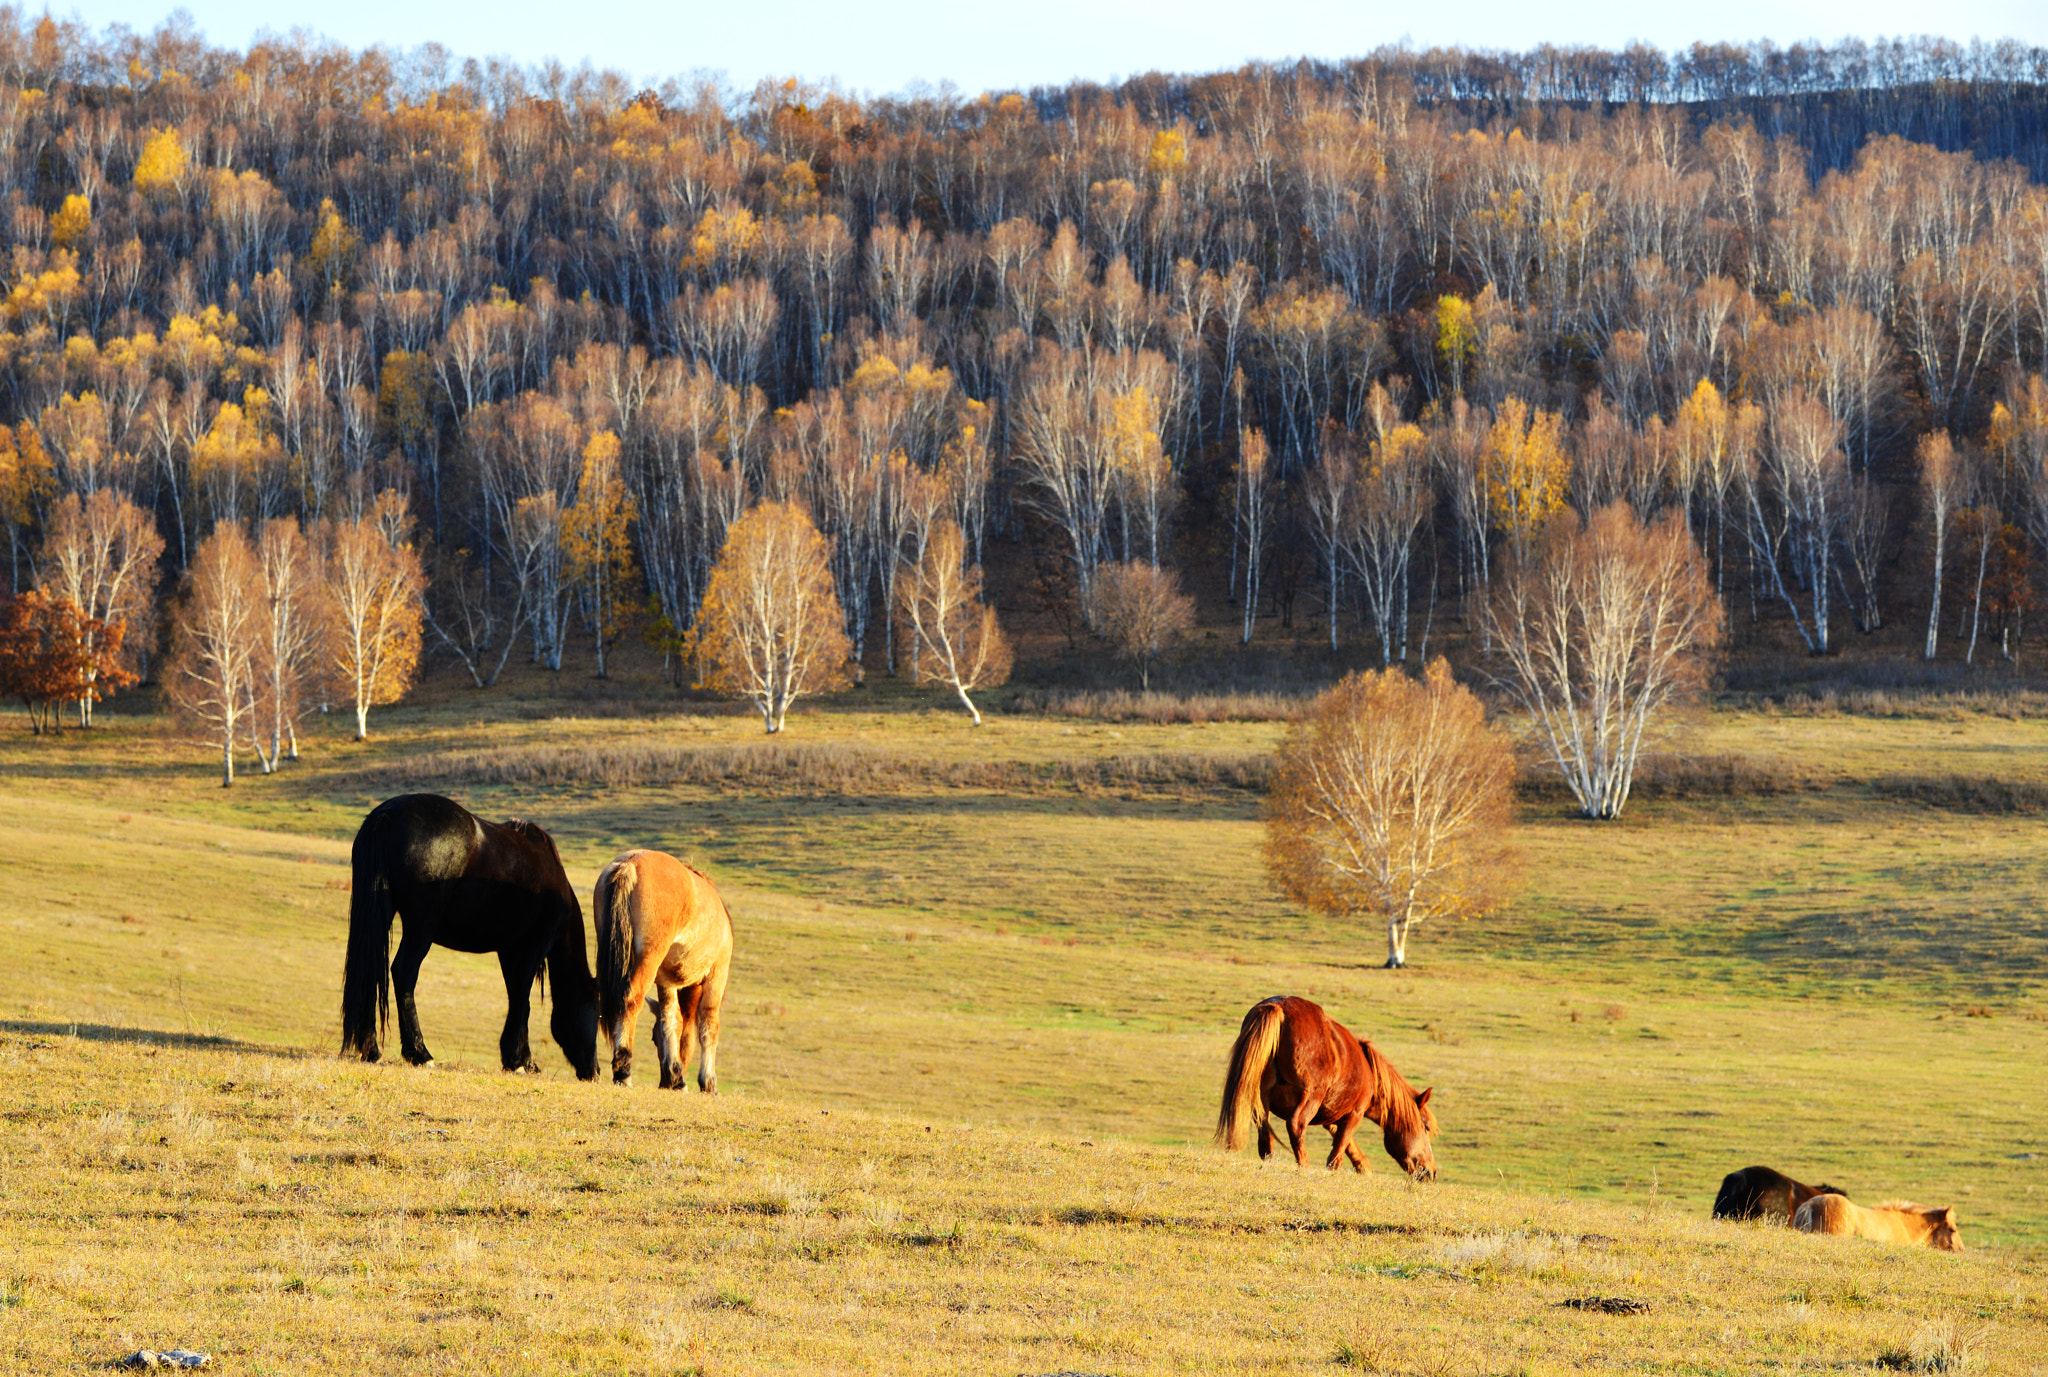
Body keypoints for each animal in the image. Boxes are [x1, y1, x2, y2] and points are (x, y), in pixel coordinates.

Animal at [339, 790, 598, 1081]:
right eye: (598, 1015)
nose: (595, 1071)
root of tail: (388, 813)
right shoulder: (534, 947)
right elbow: (522, 999)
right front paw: (518, 1060)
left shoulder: (508, 952)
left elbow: (518, 1000)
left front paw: (522, 1059)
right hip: (421, 927)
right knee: (403, 973)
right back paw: (420, 1053)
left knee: (370, 972)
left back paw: (371, 1049)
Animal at [593, 848, 737, 1090]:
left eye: (654, 1038)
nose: (664, 1083)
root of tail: (629, 864)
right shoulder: (717, 975)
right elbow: (709, 1026)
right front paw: (708, 1082)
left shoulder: (667, 982)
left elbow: (671, 1019)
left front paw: (674, 1074)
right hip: (648, 961)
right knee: (630, 1000)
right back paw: (623, 1070)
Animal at [1212, 995, 1441, 1180]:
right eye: (1426, 1127)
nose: (1431, 1171)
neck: (1368, 1069)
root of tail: (1279, 1008)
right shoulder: (1355, 1113)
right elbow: (1339, 1148)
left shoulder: (1331, 1115)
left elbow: (1345, 1143)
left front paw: (1362, 1167)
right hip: (1311, 1096)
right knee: (1296, 1125)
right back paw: (1304, 1165)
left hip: (1263, 1097)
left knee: (1264, 1131)